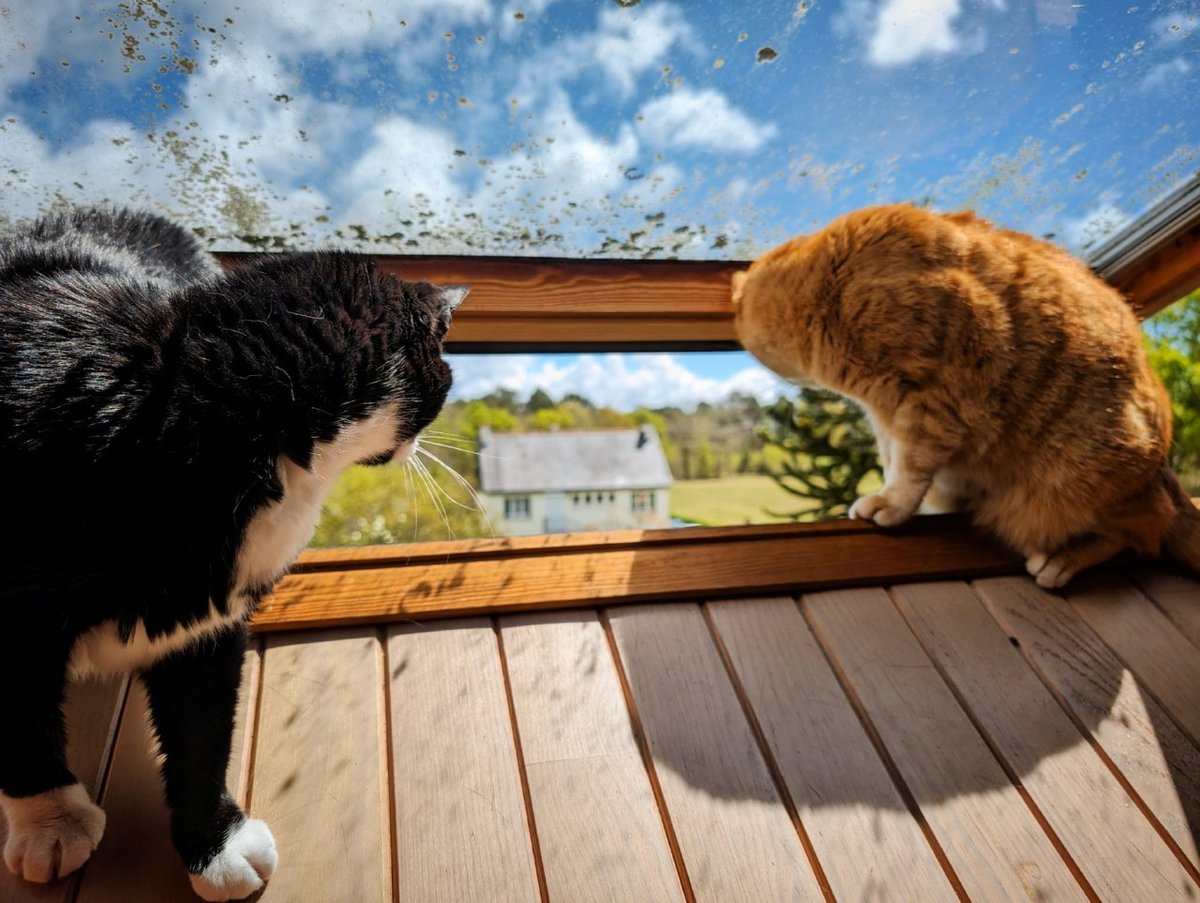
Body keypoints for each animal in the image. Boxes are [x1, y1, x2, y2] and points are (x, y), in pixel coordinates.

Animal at [729, 201, 1200, 588]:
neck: (831, 281)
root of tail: (1165, 475)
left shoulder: (933, 401)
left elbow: (910, 469)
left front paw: (890, 505)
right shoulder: (885, 416)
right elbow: (893, 461)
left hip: (1082, 478)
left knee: (1140, 530)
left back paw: (1061, 562)